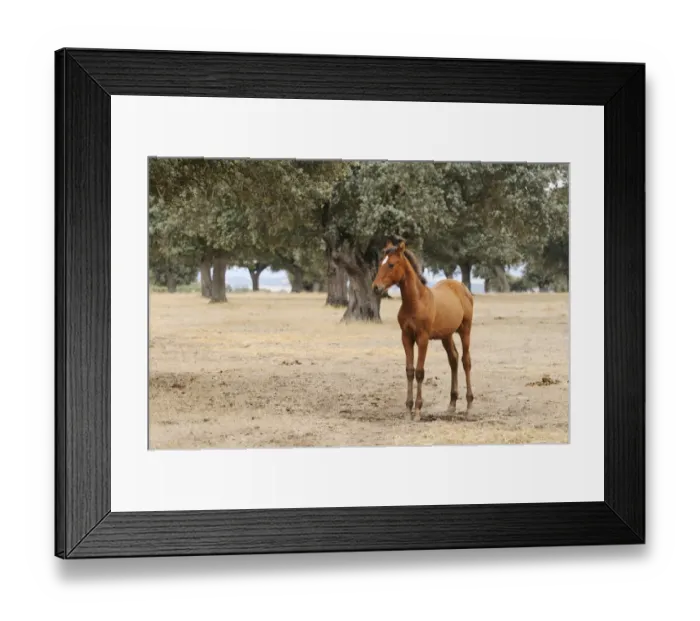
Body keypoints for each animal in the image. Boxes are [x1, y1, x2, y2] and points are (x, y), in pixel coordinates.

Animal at [371, 238, 475, 422]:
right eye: (380, 263)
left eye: (391, 264)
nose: (376, 287)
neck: (415, 301)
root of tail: (462, 288)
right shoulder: (406, 337)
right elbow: (409, 371)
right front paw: (408, 410)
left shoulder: (423, 338)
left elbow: (419, 372)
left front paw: (418, 411)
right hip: (446, 335)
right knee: (453, 359)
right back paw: (452, 405)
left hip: (465, 330)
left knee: (466, 361)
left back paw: (469, 406)